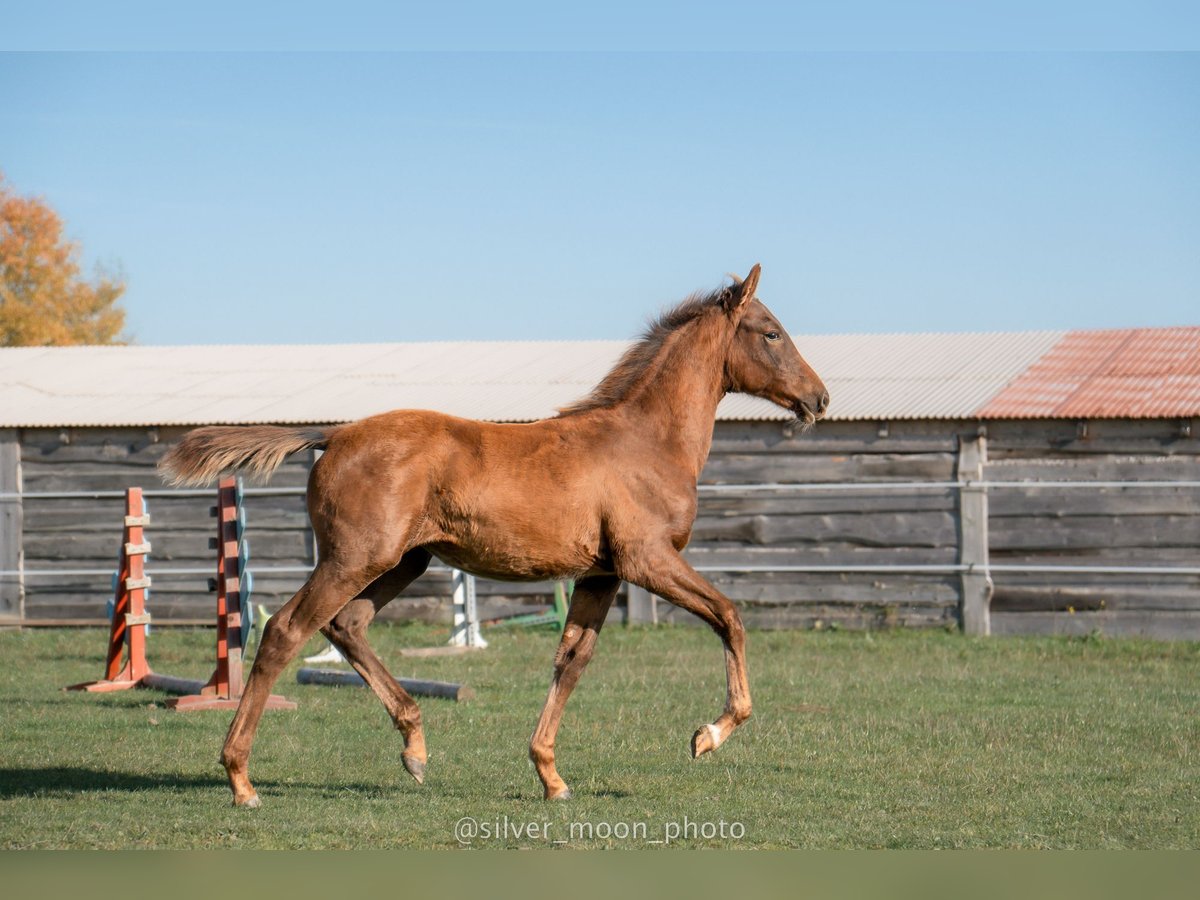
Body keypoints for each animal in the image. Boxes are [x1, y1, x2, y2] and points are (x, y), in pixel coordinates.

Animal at [159, 264, 830, 806]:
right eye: (770, 331)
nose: (819, 398)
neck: (646, 441)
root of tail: (334, 434)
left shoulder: (602, 572)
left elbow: (571, 660)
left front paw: (551, 776)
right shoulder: (647, 561)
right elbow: (730, 616)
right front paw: (707, 735)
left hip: (405, 562)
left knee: (345, 625)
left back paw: (415, 749)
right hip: (355, 558)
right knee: (285, 631)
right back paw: (241, 780)